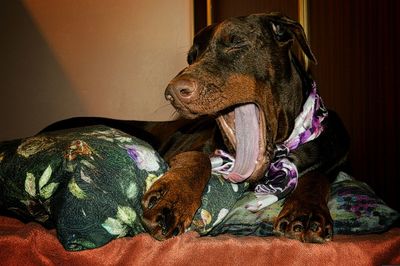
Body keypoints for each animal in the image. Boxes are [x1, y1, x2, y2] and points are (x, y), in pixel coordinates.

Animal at [45, 13, 348, 243]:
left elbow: (317, 177)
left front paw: (306, 211)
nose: (173, 93)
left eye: (236, 43)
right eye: (191, 57)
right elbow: (197, 158)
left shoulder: (334, 161)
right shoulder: (187, 148)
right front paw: (172, 198)